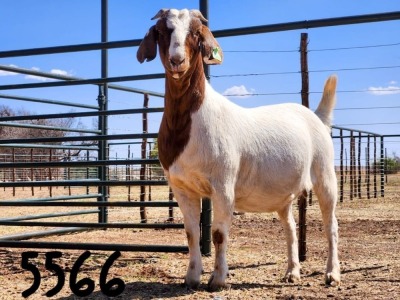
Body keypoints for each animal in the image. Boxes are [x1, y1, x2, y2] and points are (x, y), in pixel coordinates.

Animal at [138, 9, 340, 290]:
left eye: (196, 32)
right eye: (160, 31)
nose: (177, 60)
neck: (191, 122)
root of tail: (317, 117)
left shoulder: (223, 183)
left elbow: (218, 234)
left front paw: (218, 279)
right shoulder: (181, 187)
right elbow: (191, 233)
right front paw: (192, 277)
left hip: (324, 174)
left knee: (331, 224)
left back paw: (332, 274)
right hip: (283, 194)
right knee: (290, 227)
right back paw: (292, 272)